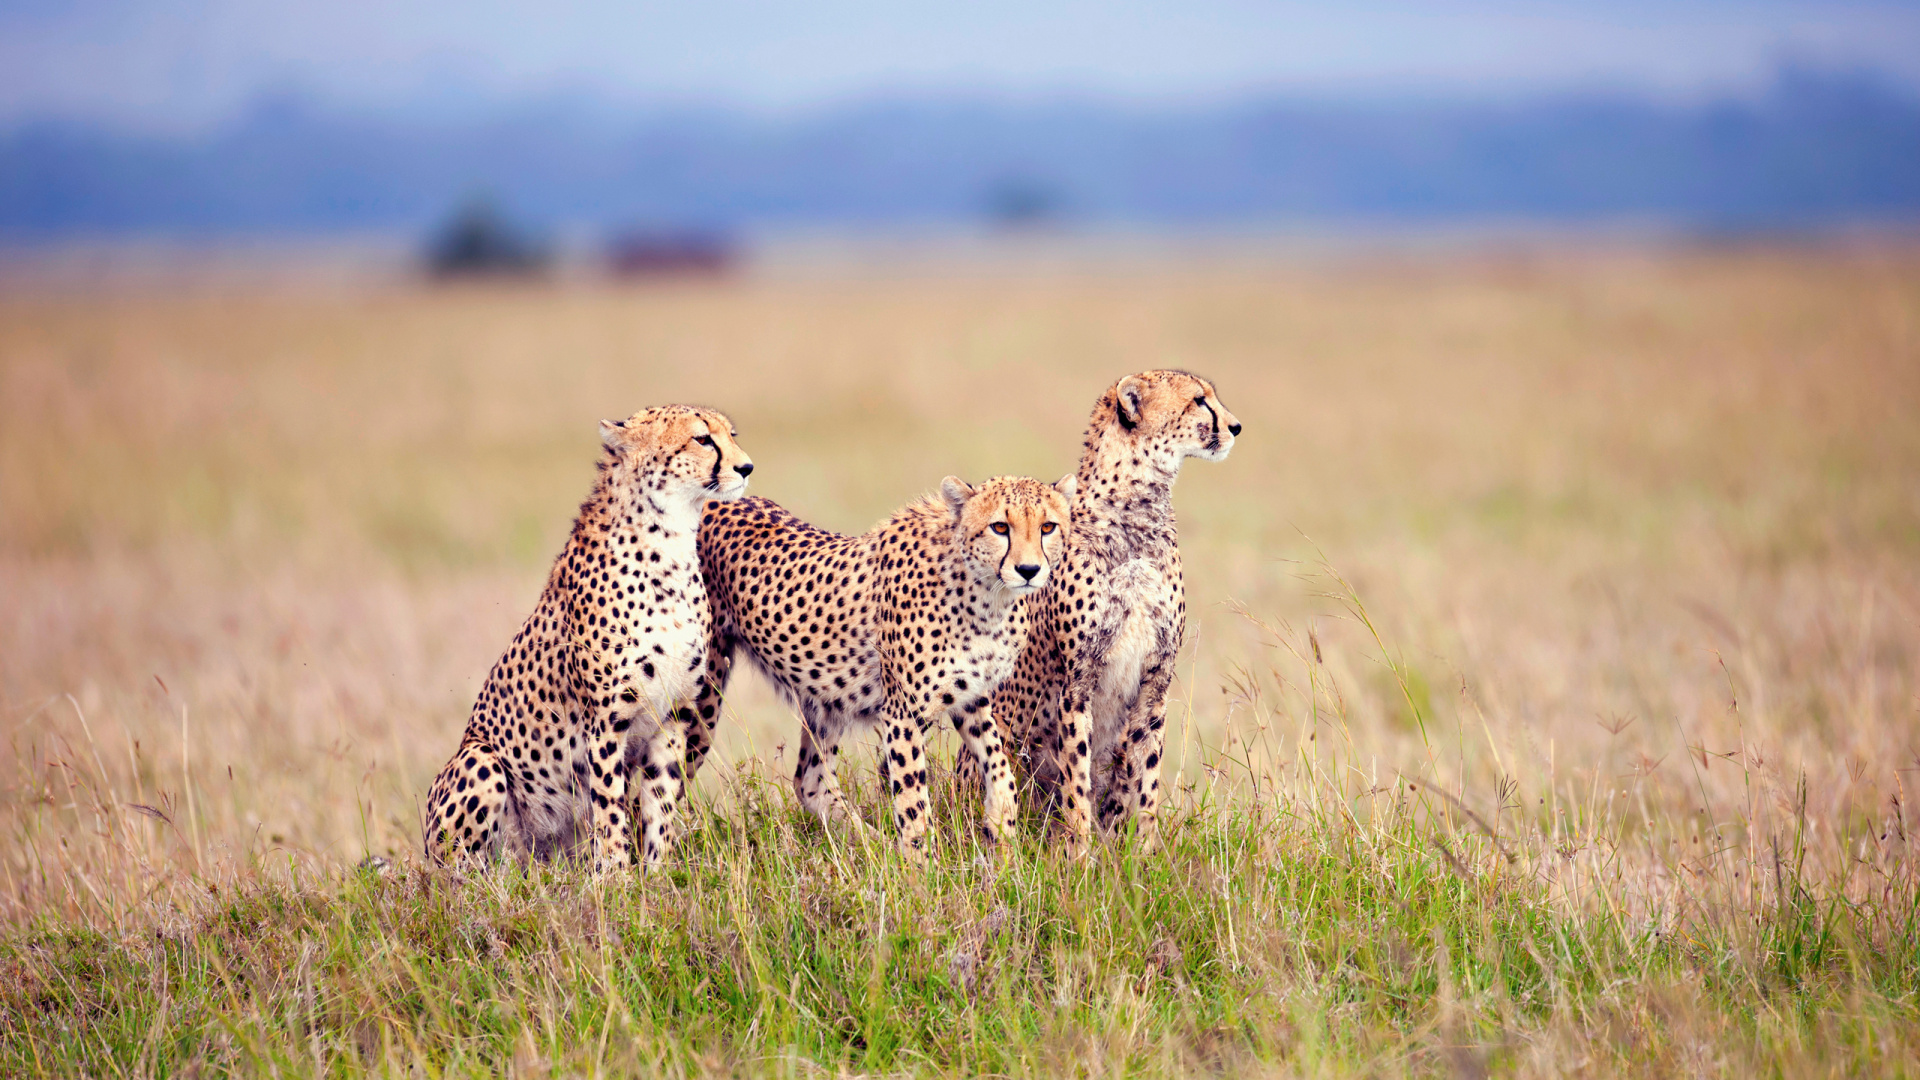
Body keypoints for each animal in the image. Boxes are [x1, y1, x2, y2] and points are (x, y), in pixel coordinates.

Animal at [422, 405, 754, 872]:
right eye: (702, 439)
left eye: (731, 435)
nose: (746, 467)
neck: (670, 545)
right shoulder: (606, 722)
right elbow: (611, 808)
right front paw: (615, 879)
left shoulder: (673, 717)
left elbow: (660, 803)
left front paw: (658, 874)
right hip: (478, 761)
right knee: (459, 873)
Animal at [677, 473, 1075, 858]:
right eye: (999, 527)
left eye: (1048, 527)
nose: (1029, 569)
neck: (986, 594)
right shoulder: (903, 713)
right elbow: (914, 804)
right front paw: (922, 871)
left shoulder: (970, 698)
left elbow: (999, 764)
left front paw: (1002, 829)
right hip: (703, 691)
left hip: (825, 699)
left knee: (810, 782)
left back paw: (874, 847)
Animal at [988, 370, 1241, 851]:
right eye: (1199, 401)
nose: (1237, 427)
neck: (1138, 511)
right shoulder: (1076, 682)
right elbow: (1077, 776)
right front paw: (1080, 853)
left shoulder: (1156, 678)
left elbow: (1146, 773)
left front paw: (1143, 853)